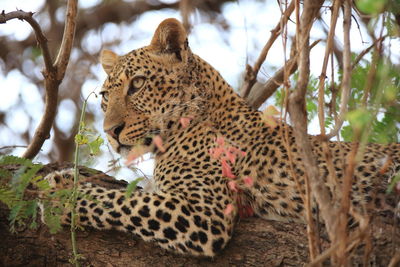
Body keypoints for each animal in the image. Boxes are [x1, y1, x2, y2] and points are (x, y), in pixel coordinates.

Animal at [42, 18, 398, 258]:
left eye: (138, 84)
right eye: (105, 96)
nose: (110, 131)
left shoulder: (204, 213)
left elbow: (122, 201)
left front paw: (62, 192)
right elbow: (130, 196)